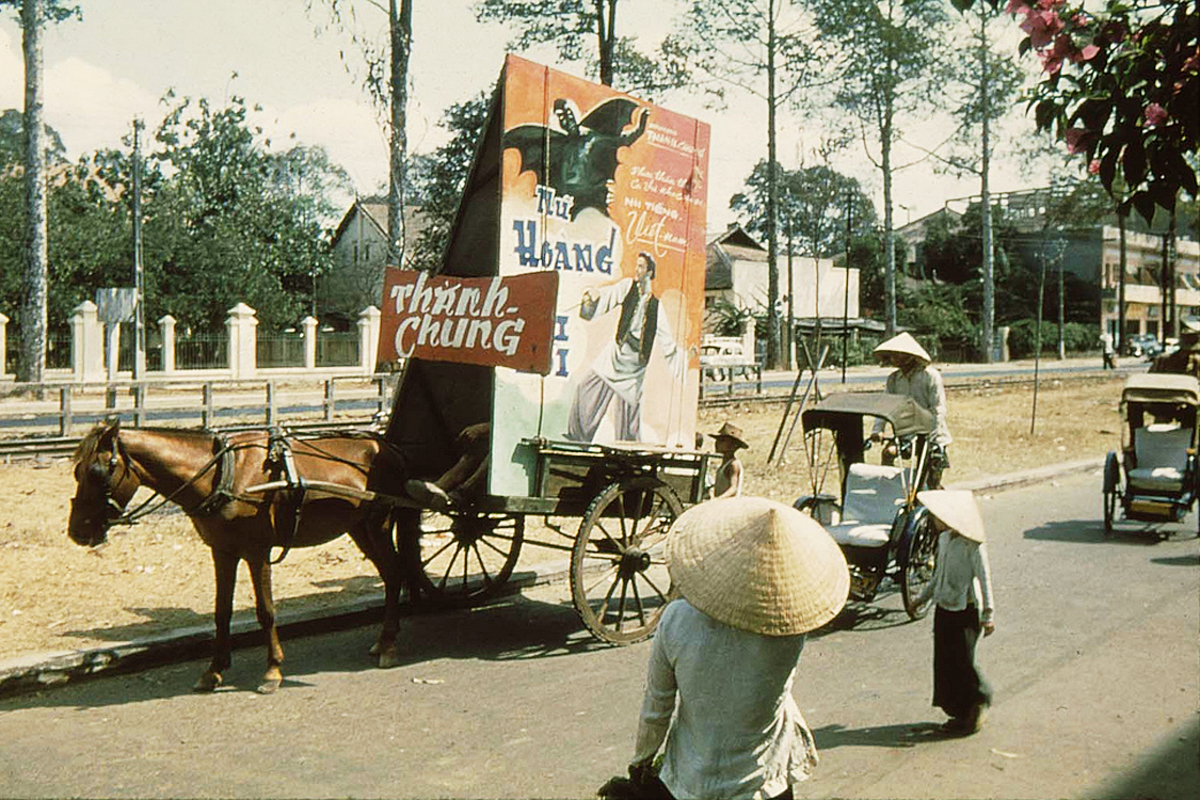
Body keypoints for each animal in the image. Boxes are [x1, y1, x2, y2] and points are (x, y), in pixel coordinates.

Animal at [70, 422, 420, 690]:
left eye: (98, 472)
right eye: (76, 471)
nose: (77, 531)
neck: (221, 475)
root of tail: (389, 447)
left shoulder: (256, 552)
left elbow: (266, 611)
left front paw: (273, 670)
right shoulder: (223, 552)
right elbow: (221, 612)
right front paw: (214, 670)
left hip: (378, 524)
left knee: (394, 572)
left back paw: (389, 643)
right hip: (359, 528)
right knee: (391, 573)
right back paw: (384, 640)